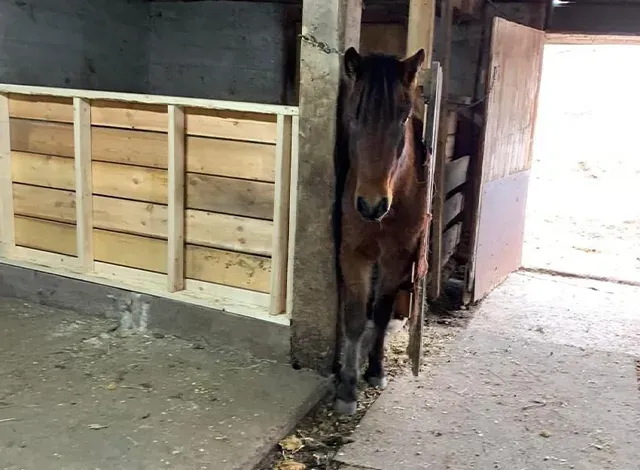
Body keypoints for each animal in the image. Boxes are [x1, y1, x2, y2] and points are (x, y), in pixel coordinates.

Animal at [332, 46, 430, 415]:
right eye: (354, 114)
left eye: (402, 118)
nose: (371, 205)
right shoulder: (352, 254)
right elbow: (356, 318)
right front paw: (347, 389)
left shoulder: (397, 258)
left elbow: (382, 312)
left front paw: (375, 370)